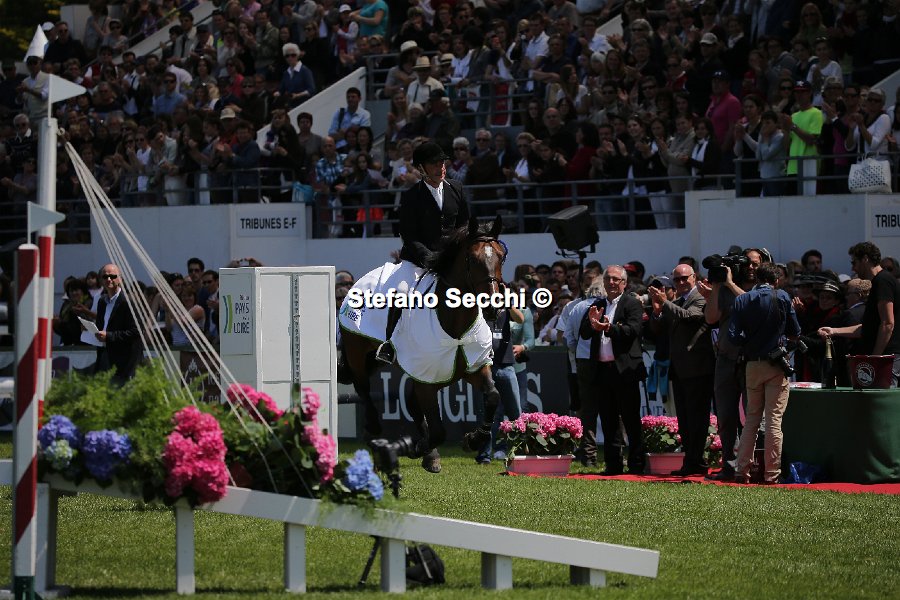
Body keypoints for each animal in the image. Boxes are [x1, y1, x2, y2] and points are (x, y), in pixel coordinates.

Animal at [338, 216, 505, 473]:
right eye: (472, 259)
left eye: (501, 256)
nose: (493, 307)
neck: (454, 326)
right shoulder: (427, 381)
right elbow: (438, 431)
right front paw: (418, 447)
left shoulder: (471, 367)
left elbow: (493, 396)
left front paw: (473, 439)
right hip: (357, 351)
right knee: (363, 388)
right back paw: (374, 431)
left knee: (409, 401)